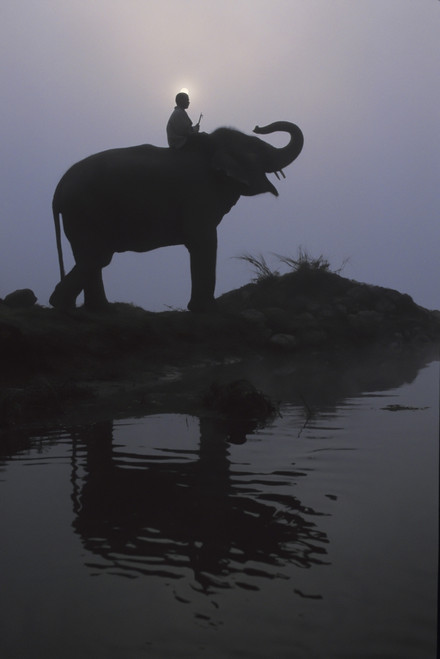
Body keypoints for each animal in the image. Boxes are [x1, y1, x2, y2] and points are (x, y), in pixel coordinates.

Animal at [49, 121, 303, 312]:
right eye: (257, 148)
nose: (258, 126)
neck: (211, 147)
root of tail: (57, 191)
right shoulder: (199, 195)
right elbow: (205, 241)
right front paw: (208, 309)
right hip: (86, 211)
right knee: (98, 256)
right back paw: (65, 305)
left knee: (90, 257)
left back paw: (100, 309)